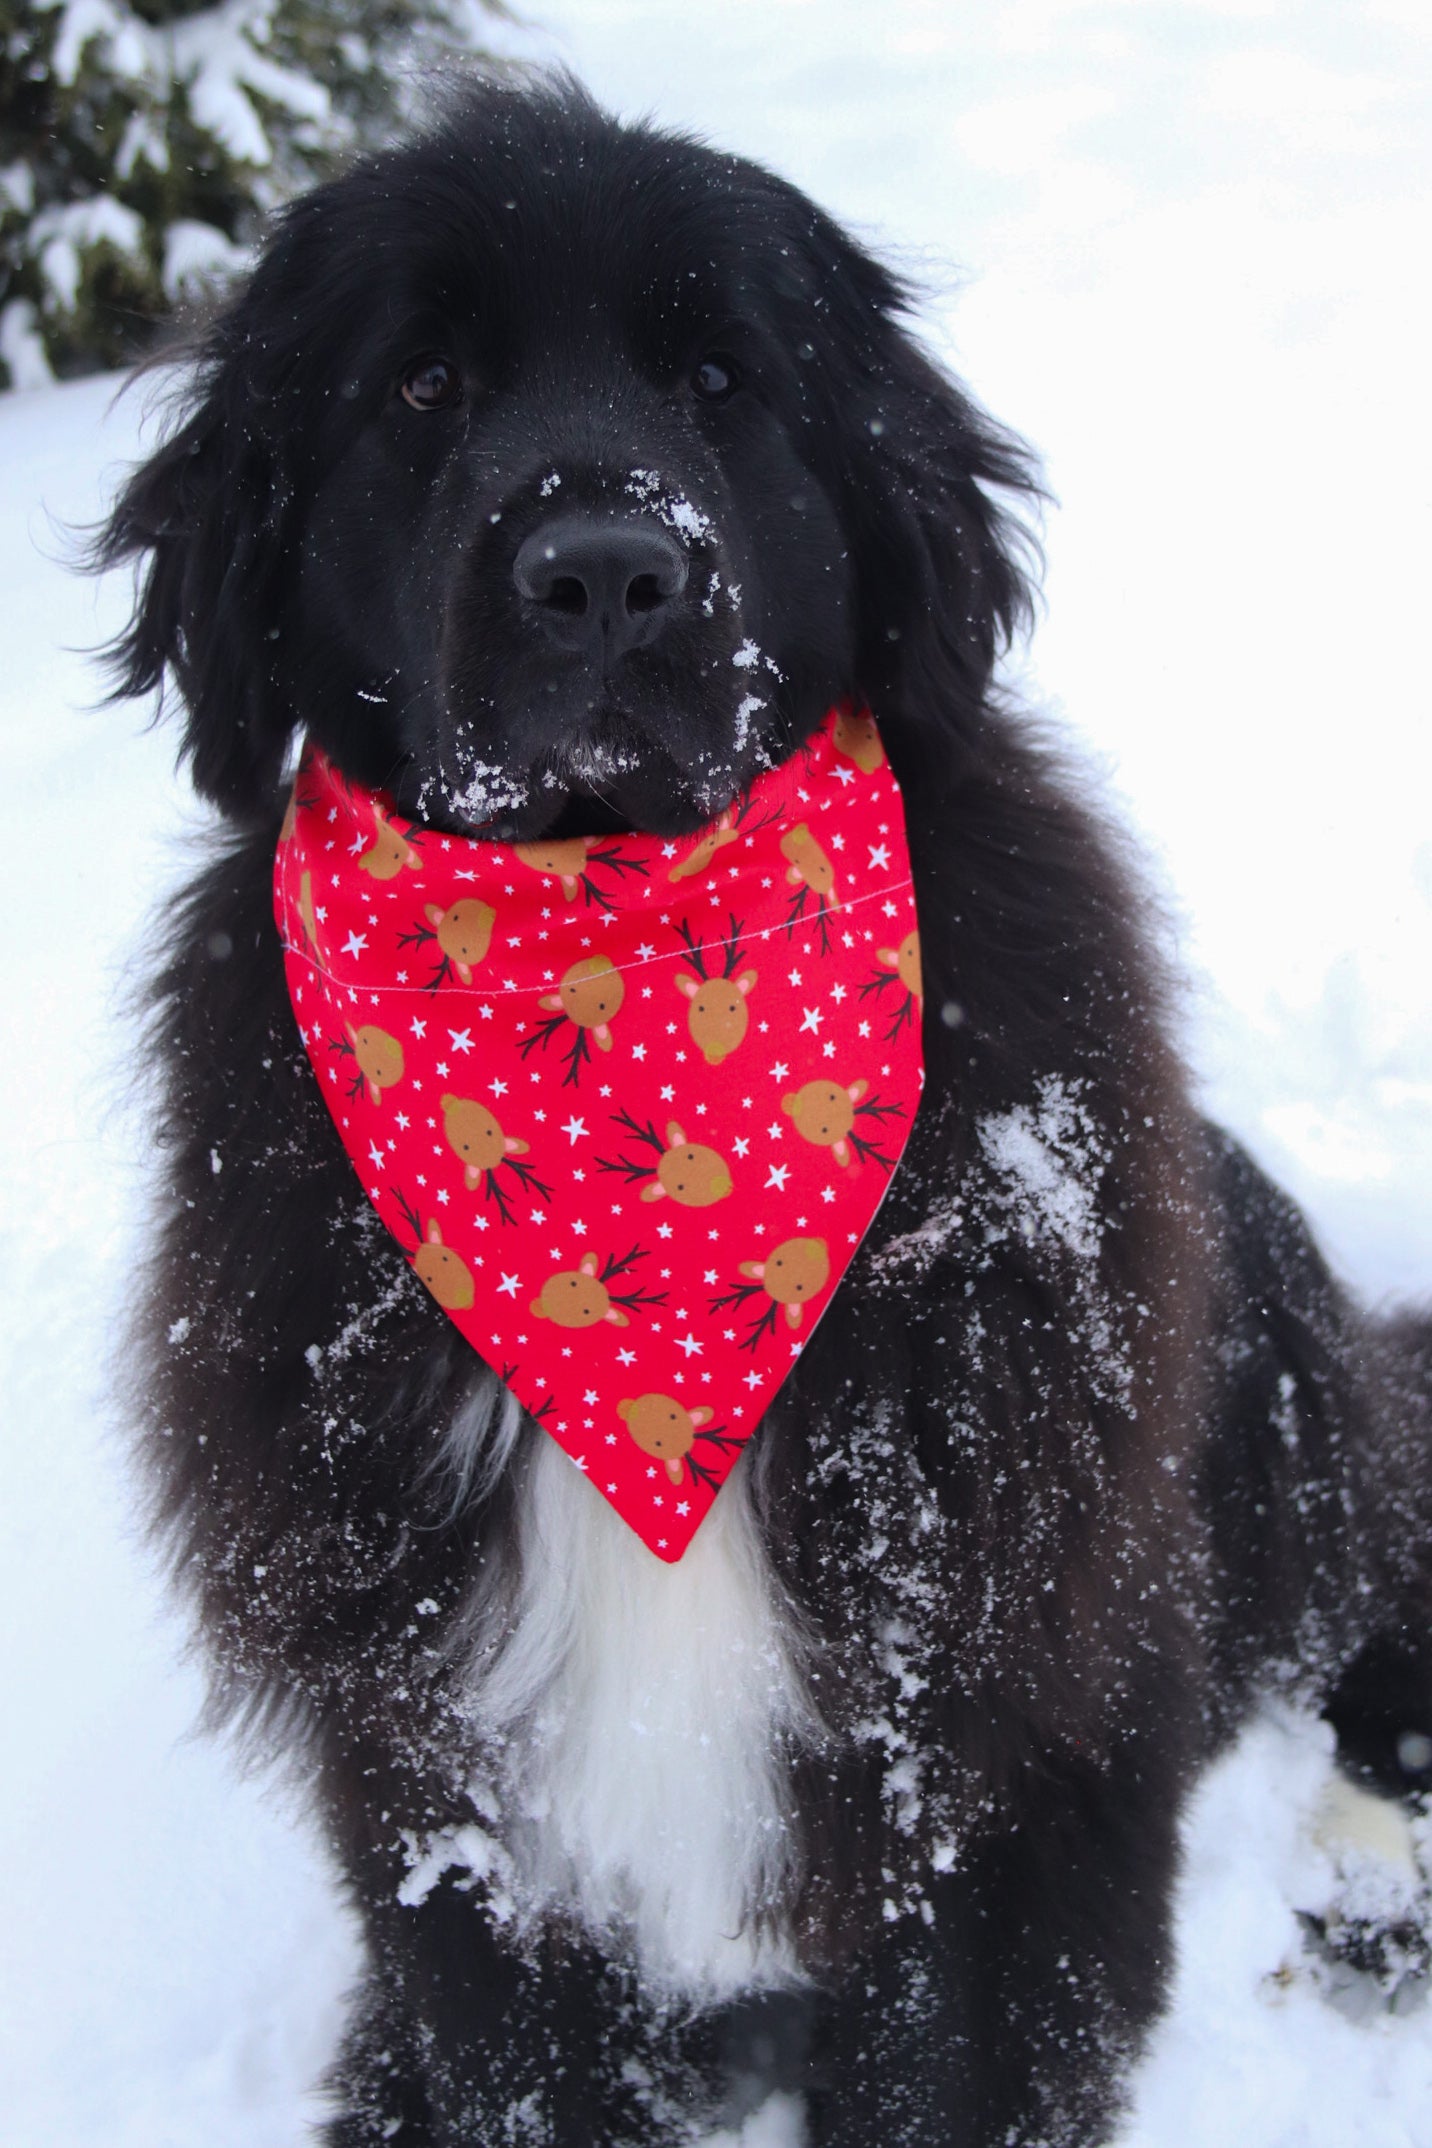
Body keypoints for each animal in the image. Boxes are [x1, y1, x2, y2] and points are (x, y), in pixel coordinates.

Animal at [100, 71, 1432, 2148]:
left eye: (722, 376)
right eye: (419, 384)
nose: (604, 570)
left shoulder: (981, 1759)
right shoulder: (459, 1808)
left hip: (1275, 1386)